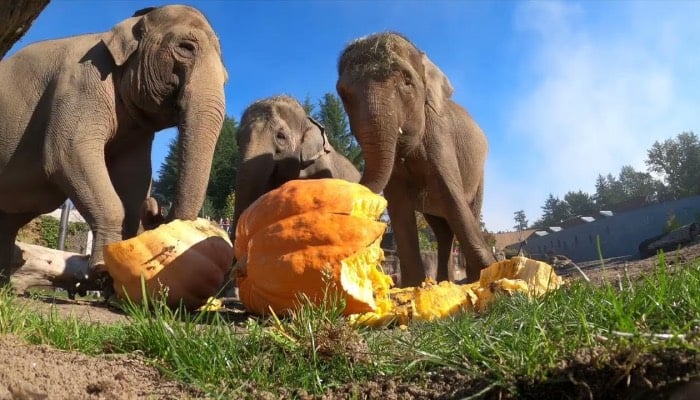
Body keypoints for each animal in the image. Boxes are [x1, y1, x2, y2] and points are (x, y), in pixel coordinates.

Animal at [0, 5, 227, 288]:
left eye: (226, 75)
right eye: (186, 47)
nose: (154, 207)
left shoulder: (137, 130)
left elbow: (136, 175)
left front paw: (114, 279)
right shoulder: (81, 85)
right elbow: (68, 154)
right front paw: (101, 269)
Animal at [336, 32, 494, 286]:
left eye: (407, 81)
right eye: (343, 93)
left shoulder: (439, 136)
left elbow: (451, 195)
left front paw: (492, 274)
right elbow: (398, 205)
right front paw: (413, 286)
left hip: (479, 176)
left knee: (467, 211)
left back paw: (465, 279)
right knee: (442, 230)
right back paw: (443, 281)